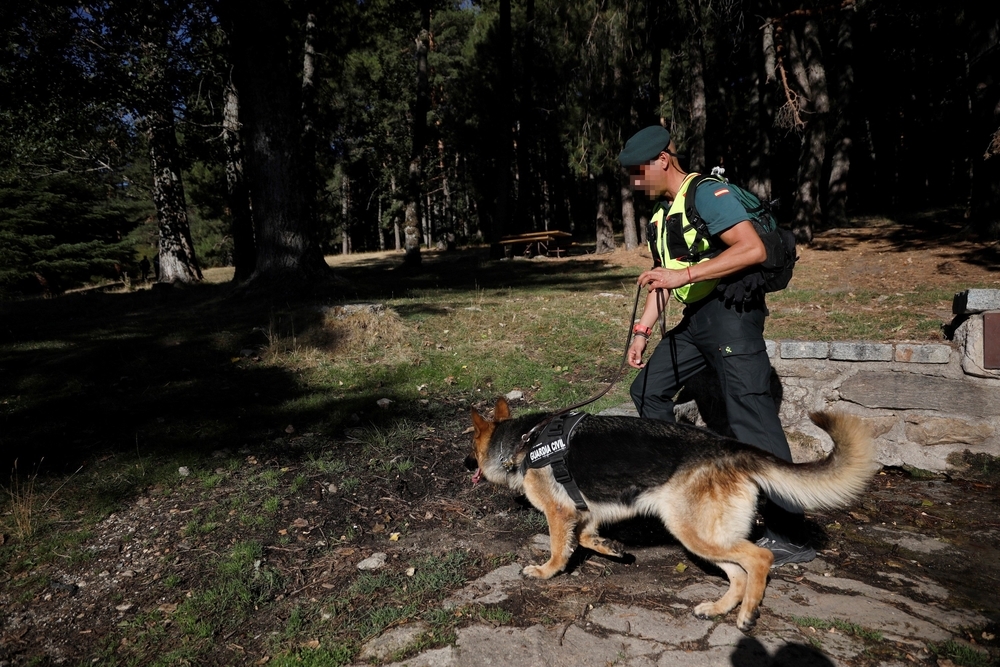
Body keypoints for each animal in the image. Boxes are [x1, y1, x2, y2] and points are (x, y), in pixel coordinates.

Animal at [464, 400, 872, 636]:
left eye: (472, 445)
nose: (466, 464)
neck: (523, 442)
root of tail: (729, 448)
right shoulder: (588, 510)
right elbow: (585, 536)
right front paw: (611, 548)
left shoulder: (558, 512)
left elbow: (560, 546)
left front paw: (547, 571)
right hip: (705, 538)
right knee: (738, 573)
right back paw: (719, 608)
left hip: (692, 532)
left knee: (760, 558)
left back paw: (747, 614)